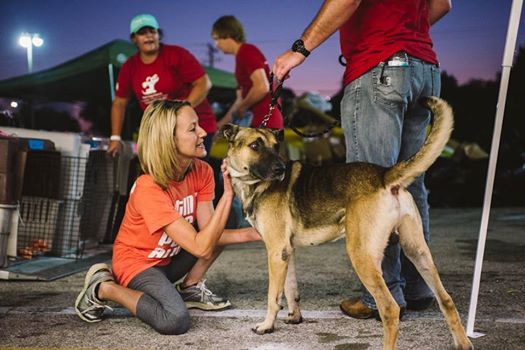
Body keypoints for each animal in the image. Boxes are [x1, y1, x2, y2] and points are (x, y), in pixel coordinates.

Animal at [219, 96, 472, 350]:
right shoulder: (286, 252)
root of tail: (384, 175)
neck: (254, 184)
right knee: (446, 299)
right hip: (417, 251)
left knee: (390, 308)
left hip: (361, 255)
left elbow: (273, 296)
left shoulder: (275, 251)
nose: (280, 169)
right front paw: (294, 316)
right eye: (256, 146)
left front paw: (267, 325)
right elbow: (290, 290)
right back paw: (462, 342)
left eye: (275, 146)